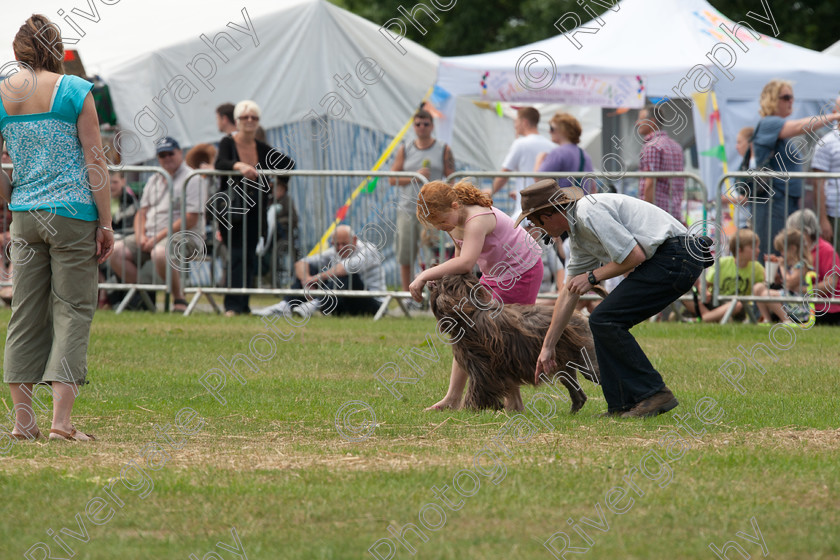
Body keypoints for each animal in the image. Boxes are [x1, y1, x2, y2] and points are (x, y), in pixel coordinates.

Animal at [430, 274, 600, 412]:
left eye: (442, 280)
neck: (469, 313)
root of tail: (581, 316)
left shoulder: (482, 367)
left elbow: (477, 388)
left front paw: (469, 408)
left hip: (588, 364)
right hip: (563, 367)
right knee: (579, 396)